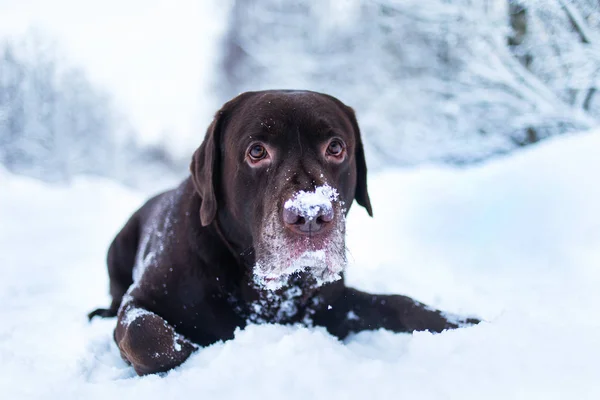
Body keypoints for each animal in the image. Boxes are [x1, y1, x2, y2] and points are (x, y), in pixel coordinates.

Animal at [89, 90, 478, 376]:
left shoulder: (332, 303)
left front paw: (466, 322)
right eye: (257, 151)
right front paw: (189, 345)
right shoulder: (144, 297)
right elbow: (145, 333)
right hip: (117, 249)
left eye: (335, 147)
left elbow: (400, 303)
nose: (310, 215)